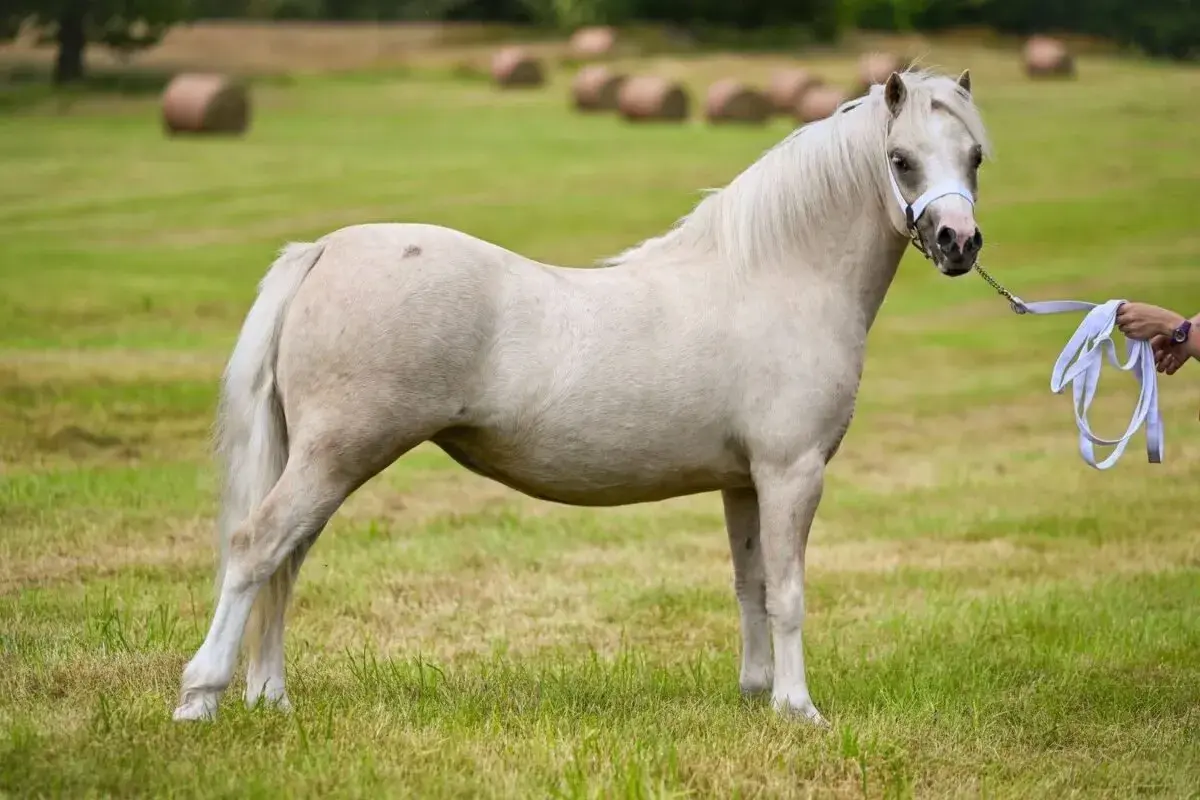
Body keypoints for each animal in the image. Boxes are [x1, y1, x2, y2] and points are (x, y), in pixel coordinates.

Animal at [173, 68, 991, 725]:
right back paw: (201, 699)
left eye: (975, 157)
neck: (776, 276)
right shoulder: (793, 472)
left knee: (286, 561)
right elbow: (788, 593)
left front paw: (756, 693)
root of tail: (322, 251)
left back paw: (270, 697)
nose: (959, 242)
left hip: (323, 462)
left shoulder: (745, 482)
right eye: (901, 160)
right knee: (256, 548)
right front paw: (797, 708)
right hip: (334, 456)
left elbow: (751, 584)